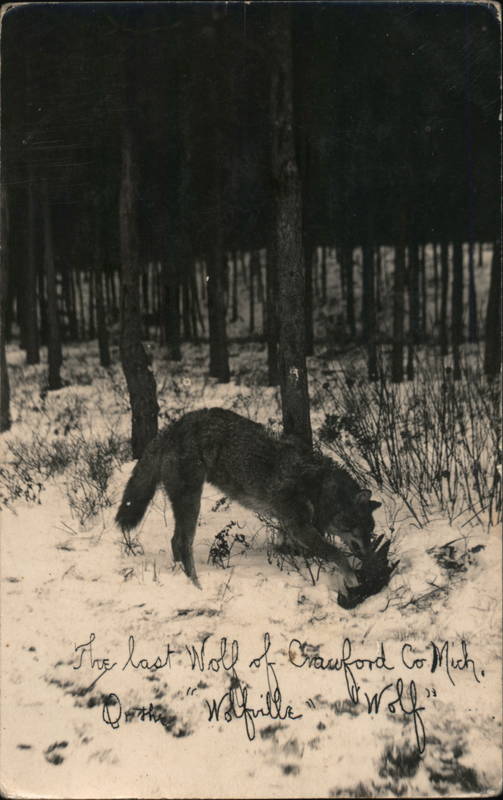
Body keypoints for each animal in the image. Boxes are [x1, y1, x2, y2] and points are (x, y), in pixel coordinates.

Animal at [115, 407, 382, 593]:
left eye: (371, 530)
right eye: (363, 529)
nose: (369, 556)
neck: (318, 487)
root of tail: (170, 429)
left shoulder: (289, 526)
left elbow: (289, 548)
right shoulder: (298, 526)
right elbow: (337, 553)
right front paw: (352, 579)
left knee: (174, 541)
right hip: (192, 501)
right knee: (181, 542)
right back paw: (197, 587)